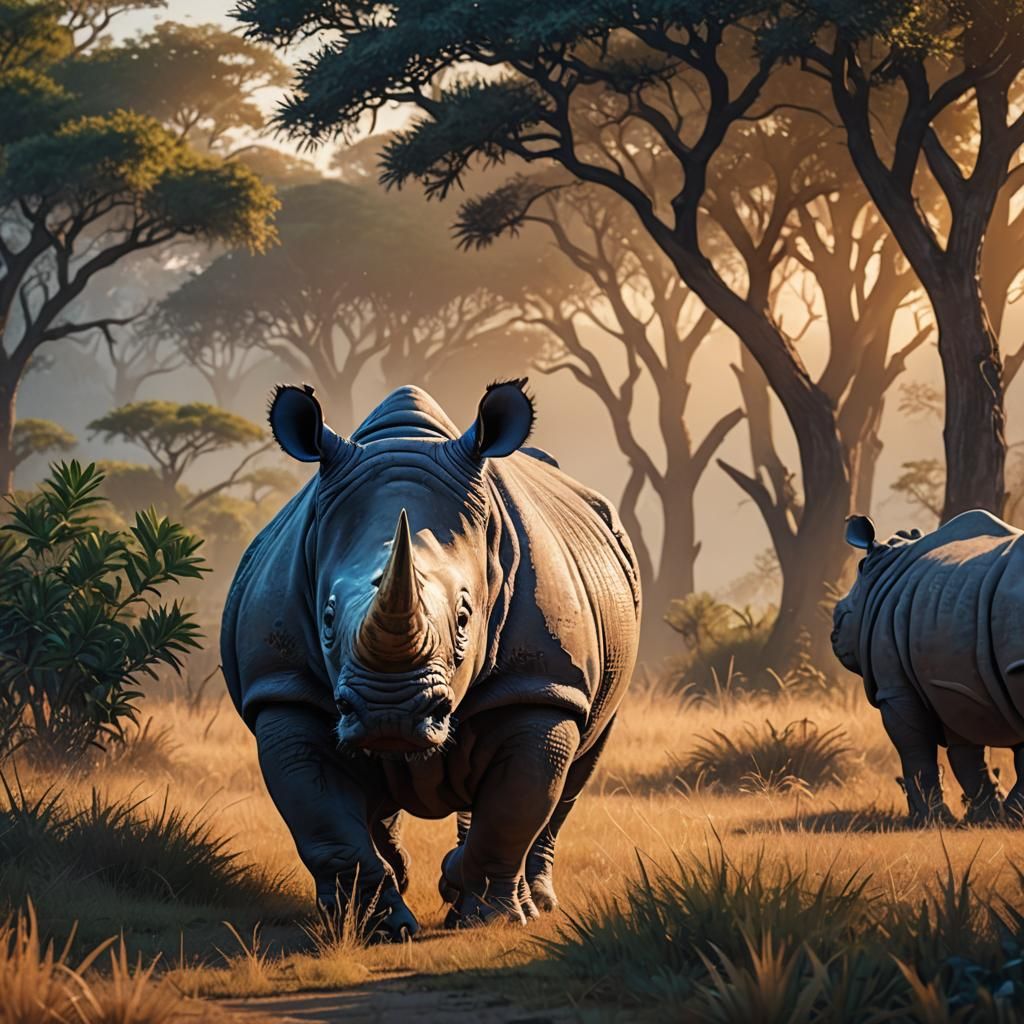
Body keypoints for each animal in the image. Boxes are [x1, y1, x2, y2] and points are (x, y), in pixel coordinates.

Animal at [221, 380, 641, 938]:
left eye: (465, 617)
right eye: (327, 618)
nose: (390, 714)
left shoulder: (542, 685)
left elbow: (515, 808)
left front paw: (487, 917)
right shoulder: (284, 689)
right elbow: (324, 822)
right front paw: (376, 930)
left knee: (573, 774)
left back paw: (529, 901)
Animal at [831, 509, 1024, 824]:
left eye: (842, 617)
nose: (833, 634)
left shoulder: (896, 689)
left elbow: (913, 747)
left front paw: (930, 819)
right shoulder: (955, 685)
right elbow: (967, 754)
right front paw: (987, 816)